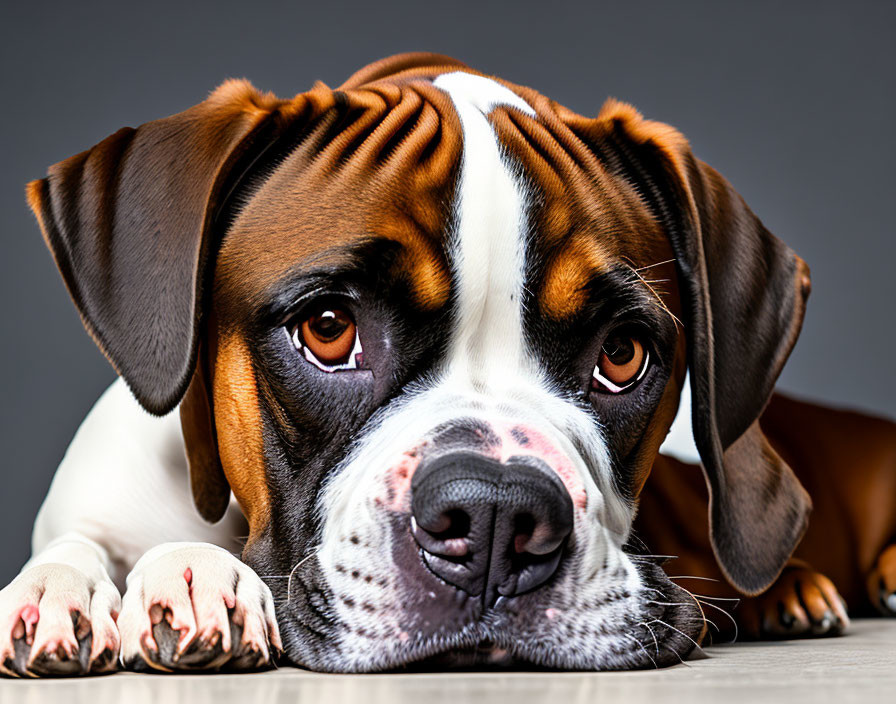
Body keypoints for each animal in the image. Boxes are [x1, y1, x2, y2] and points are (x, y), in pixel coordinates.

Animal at [1, 51, 896, 676]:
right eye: (329, 328)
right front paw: (77, 587)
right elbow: (73, 546)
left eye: (621, 353)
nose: (497, 517)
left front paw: (188, 573)